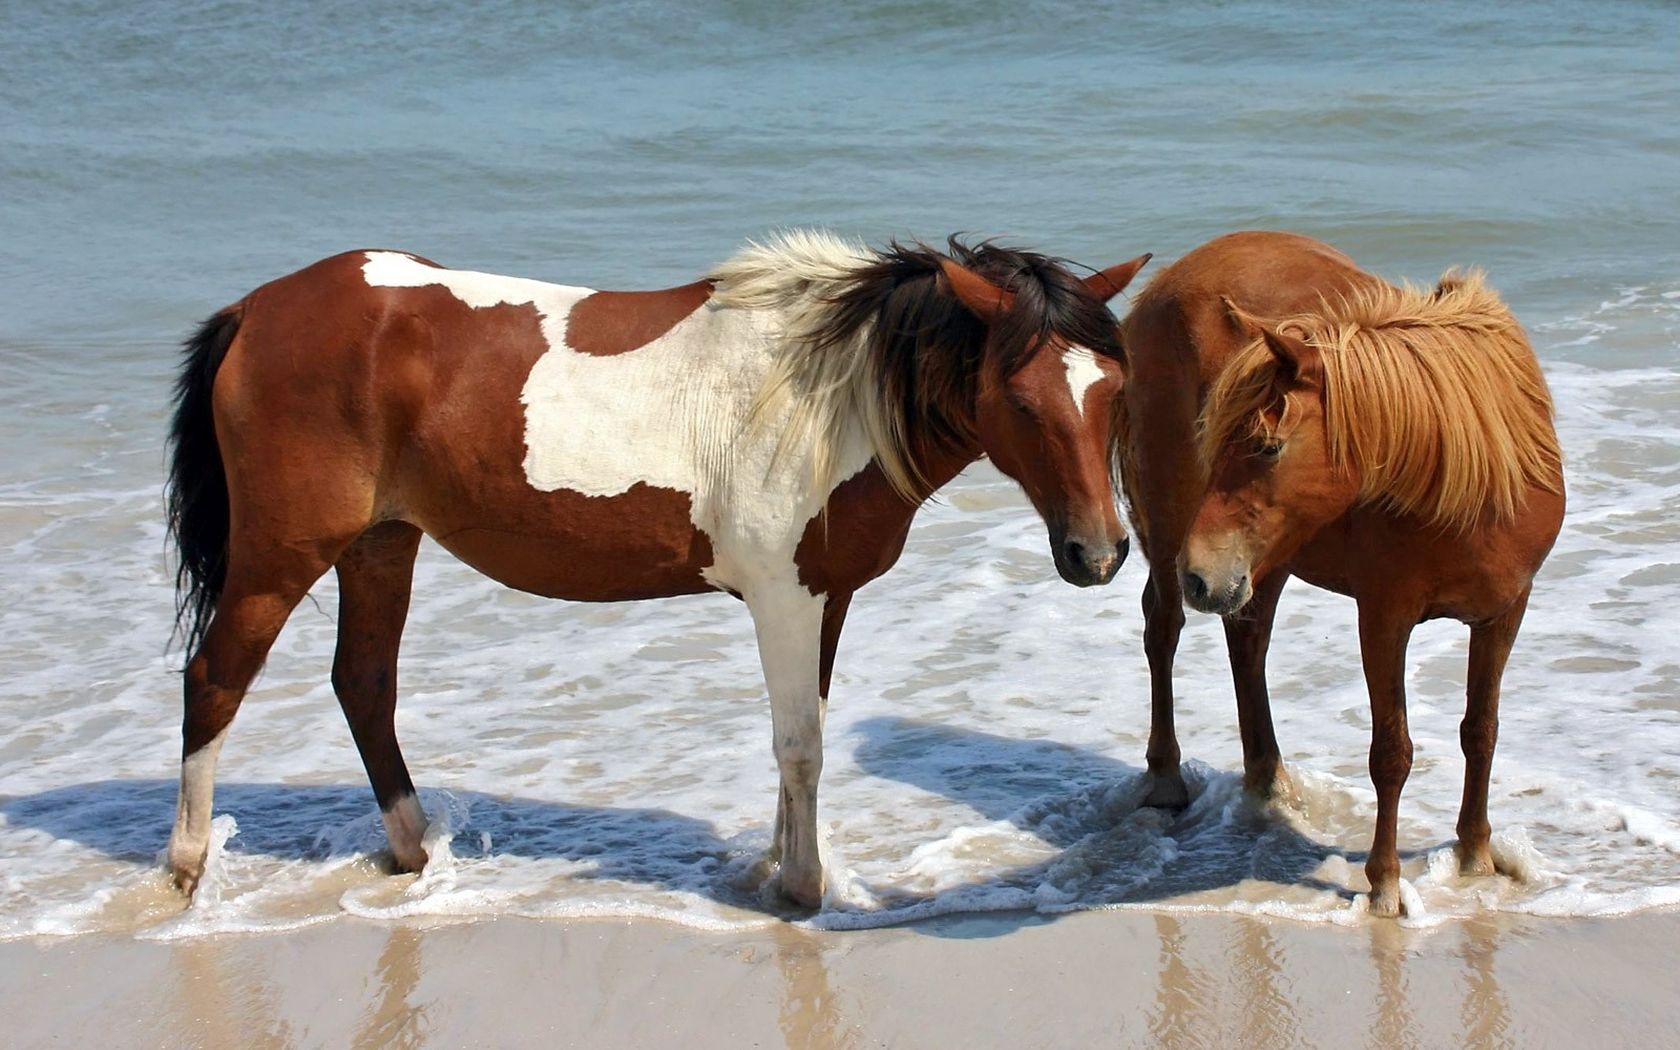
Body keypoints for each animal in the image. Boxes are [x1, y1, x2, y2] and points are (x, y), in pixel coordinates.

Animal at [160, 233, 1155, 907]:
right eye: (1020, 401)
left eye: (1113, 388)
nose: (1099, 553)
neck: (824, 397)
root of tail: (259, 309)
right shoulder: (784, 598)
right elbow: (800, 744)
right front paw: (801, 889)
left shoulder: (823, 599)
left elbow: (805, 732)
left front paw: (782, 864)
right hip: (280, 556)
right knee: (216, 681)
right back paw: (186, 867)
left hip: (381, 544)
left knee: (364, 683)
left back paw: (412, 853)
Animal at [1115, 233, 1559, 913]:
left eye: (1267, 447)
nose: (1201, 575)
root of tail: (1164, 284)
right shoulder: (1383, 617)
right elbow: (1391, 753)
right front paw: (1384, 885)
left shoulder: (1505, 611)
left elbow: (1480, 730)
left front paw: (1476, 854)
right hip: (1176, 533)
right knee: (1163, 629)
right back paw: (1166, 777)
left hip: (1261, 564)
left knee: (1247, 641)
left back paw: (1269, 779)